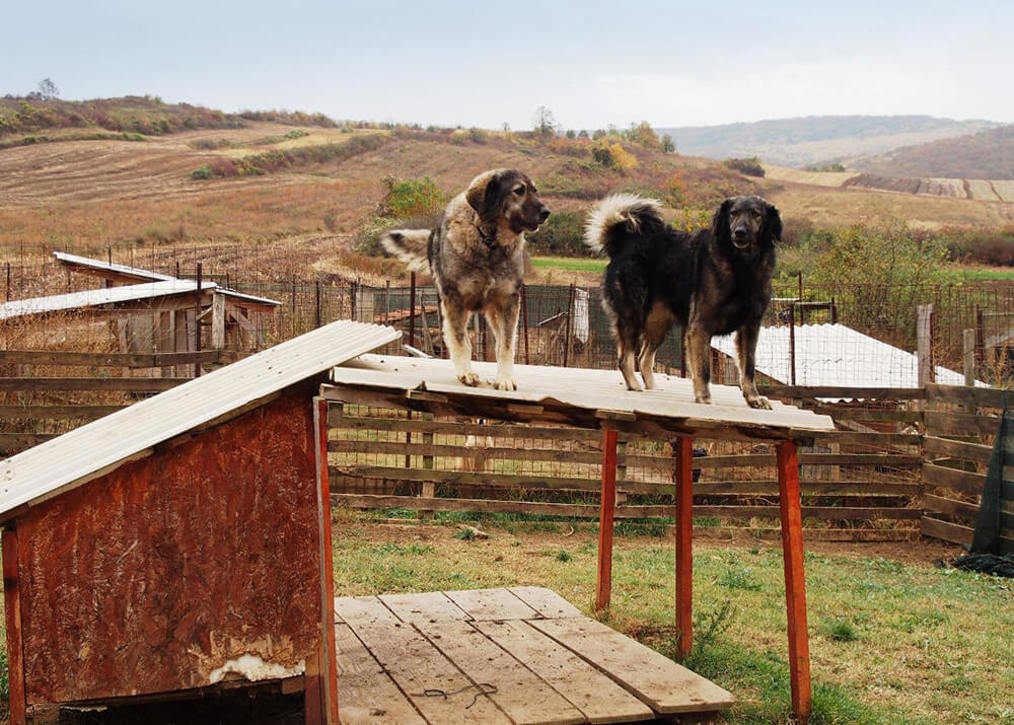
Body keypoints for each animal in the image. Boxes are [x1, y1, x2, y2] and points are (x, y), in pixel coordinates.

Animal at [381, 171, 551, 391]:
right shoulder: (455, 301)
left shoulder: (508, 301)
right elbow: (461, 341)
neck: (489, 243)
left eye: (535, 191)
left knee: (498, 341)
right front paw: (466, 373)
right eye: (519, 191)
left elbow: (505, 345)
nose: (547, 212)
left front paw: (504, 378)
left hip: (493, 312)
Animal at [584, 192, 778, 407]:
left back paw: (652, 387)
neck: (742, 265)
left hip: (658, 325)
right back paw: (634, 385)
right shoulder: (700, 326)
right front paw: (704, 397)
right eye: (733, 214)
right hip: (632, 315)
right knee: (624, 358)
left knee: (643, 358)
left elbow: (748, 367)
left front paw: (753, 398)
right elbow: (703, 369)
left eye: (756, 214)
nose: (739, 232)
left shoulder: (750, 327)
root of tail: (623, 242)